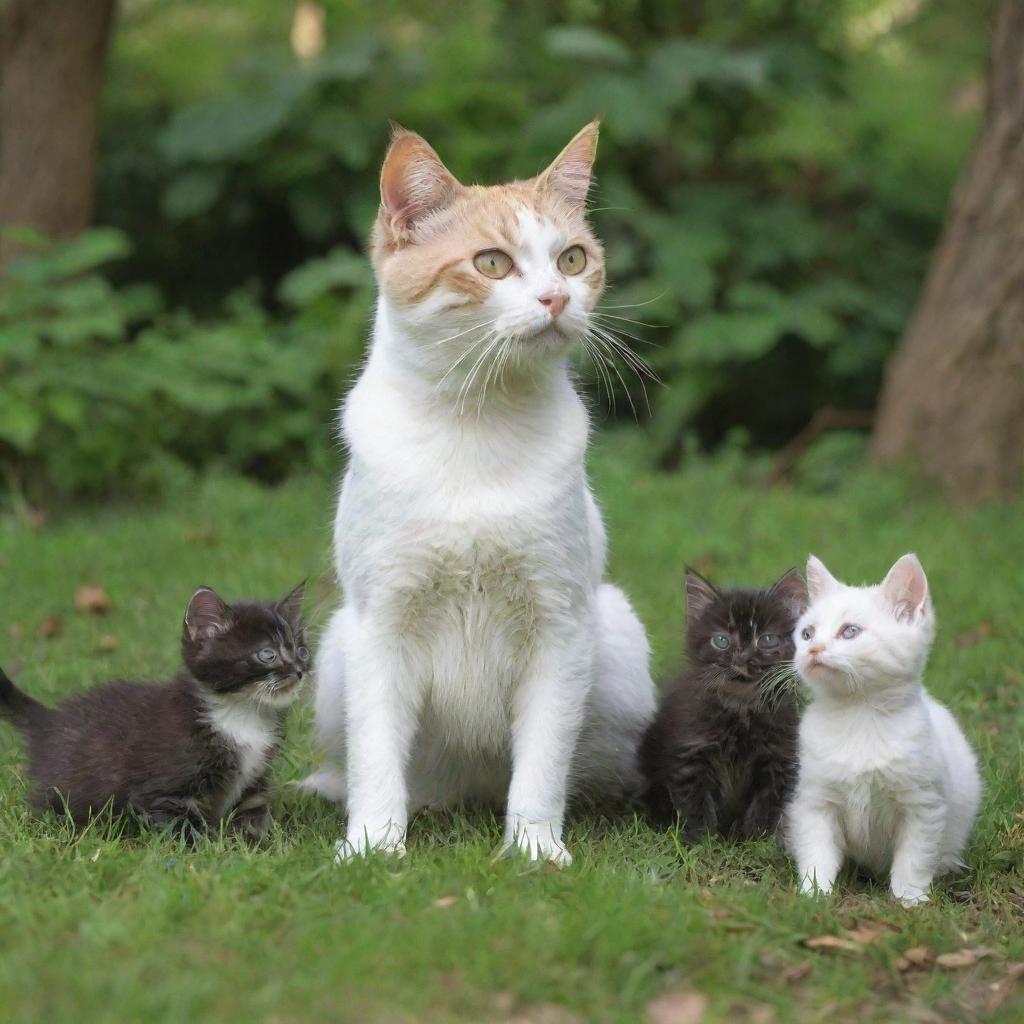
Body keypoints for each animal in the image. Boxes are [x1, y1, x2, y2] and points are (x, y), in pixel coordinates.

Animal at [1, 585, 311, 839]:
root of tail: (49, 721)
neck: (242, 712)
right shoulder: (162, 791)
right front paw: (208, 851)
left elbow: (252, 815)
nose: (299, 670)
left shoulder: (253, 782)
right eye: (267, 654)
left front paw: (261, 844)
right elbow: (183, 829)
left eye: (302, 651)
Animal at [303, 117, 655, 864]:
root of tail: (463, 792)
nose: (557, 298)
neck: (477, 426)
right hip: (337, 648)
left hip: (616, 640)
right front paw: (373, 847)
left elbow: (544, 758)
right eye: (492, 264)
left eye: (573, 259)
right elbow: (375, 753)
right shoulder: (382, 624)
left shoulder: (558, 625)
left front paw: (534, 851)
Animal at [638, 569, 806, 839]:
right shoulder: (691, 752)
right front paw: (702, 839)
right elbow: (696, 801)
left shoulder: (779, 755)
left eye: (767, 639)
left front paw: (754, 837)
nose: (742, 659)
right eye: (722, 641)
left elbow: (767, 802)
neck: (742, 706)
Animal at [782, 552, 983, 905]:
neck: (859, 715)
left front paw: (910, 900)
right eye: (807, 633)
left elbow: (914, 858)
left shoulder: (923, 806)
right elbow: (817, 850)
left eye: (849, 631)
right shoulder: (814, 802)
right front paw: (814, 893)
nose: (812, 649)